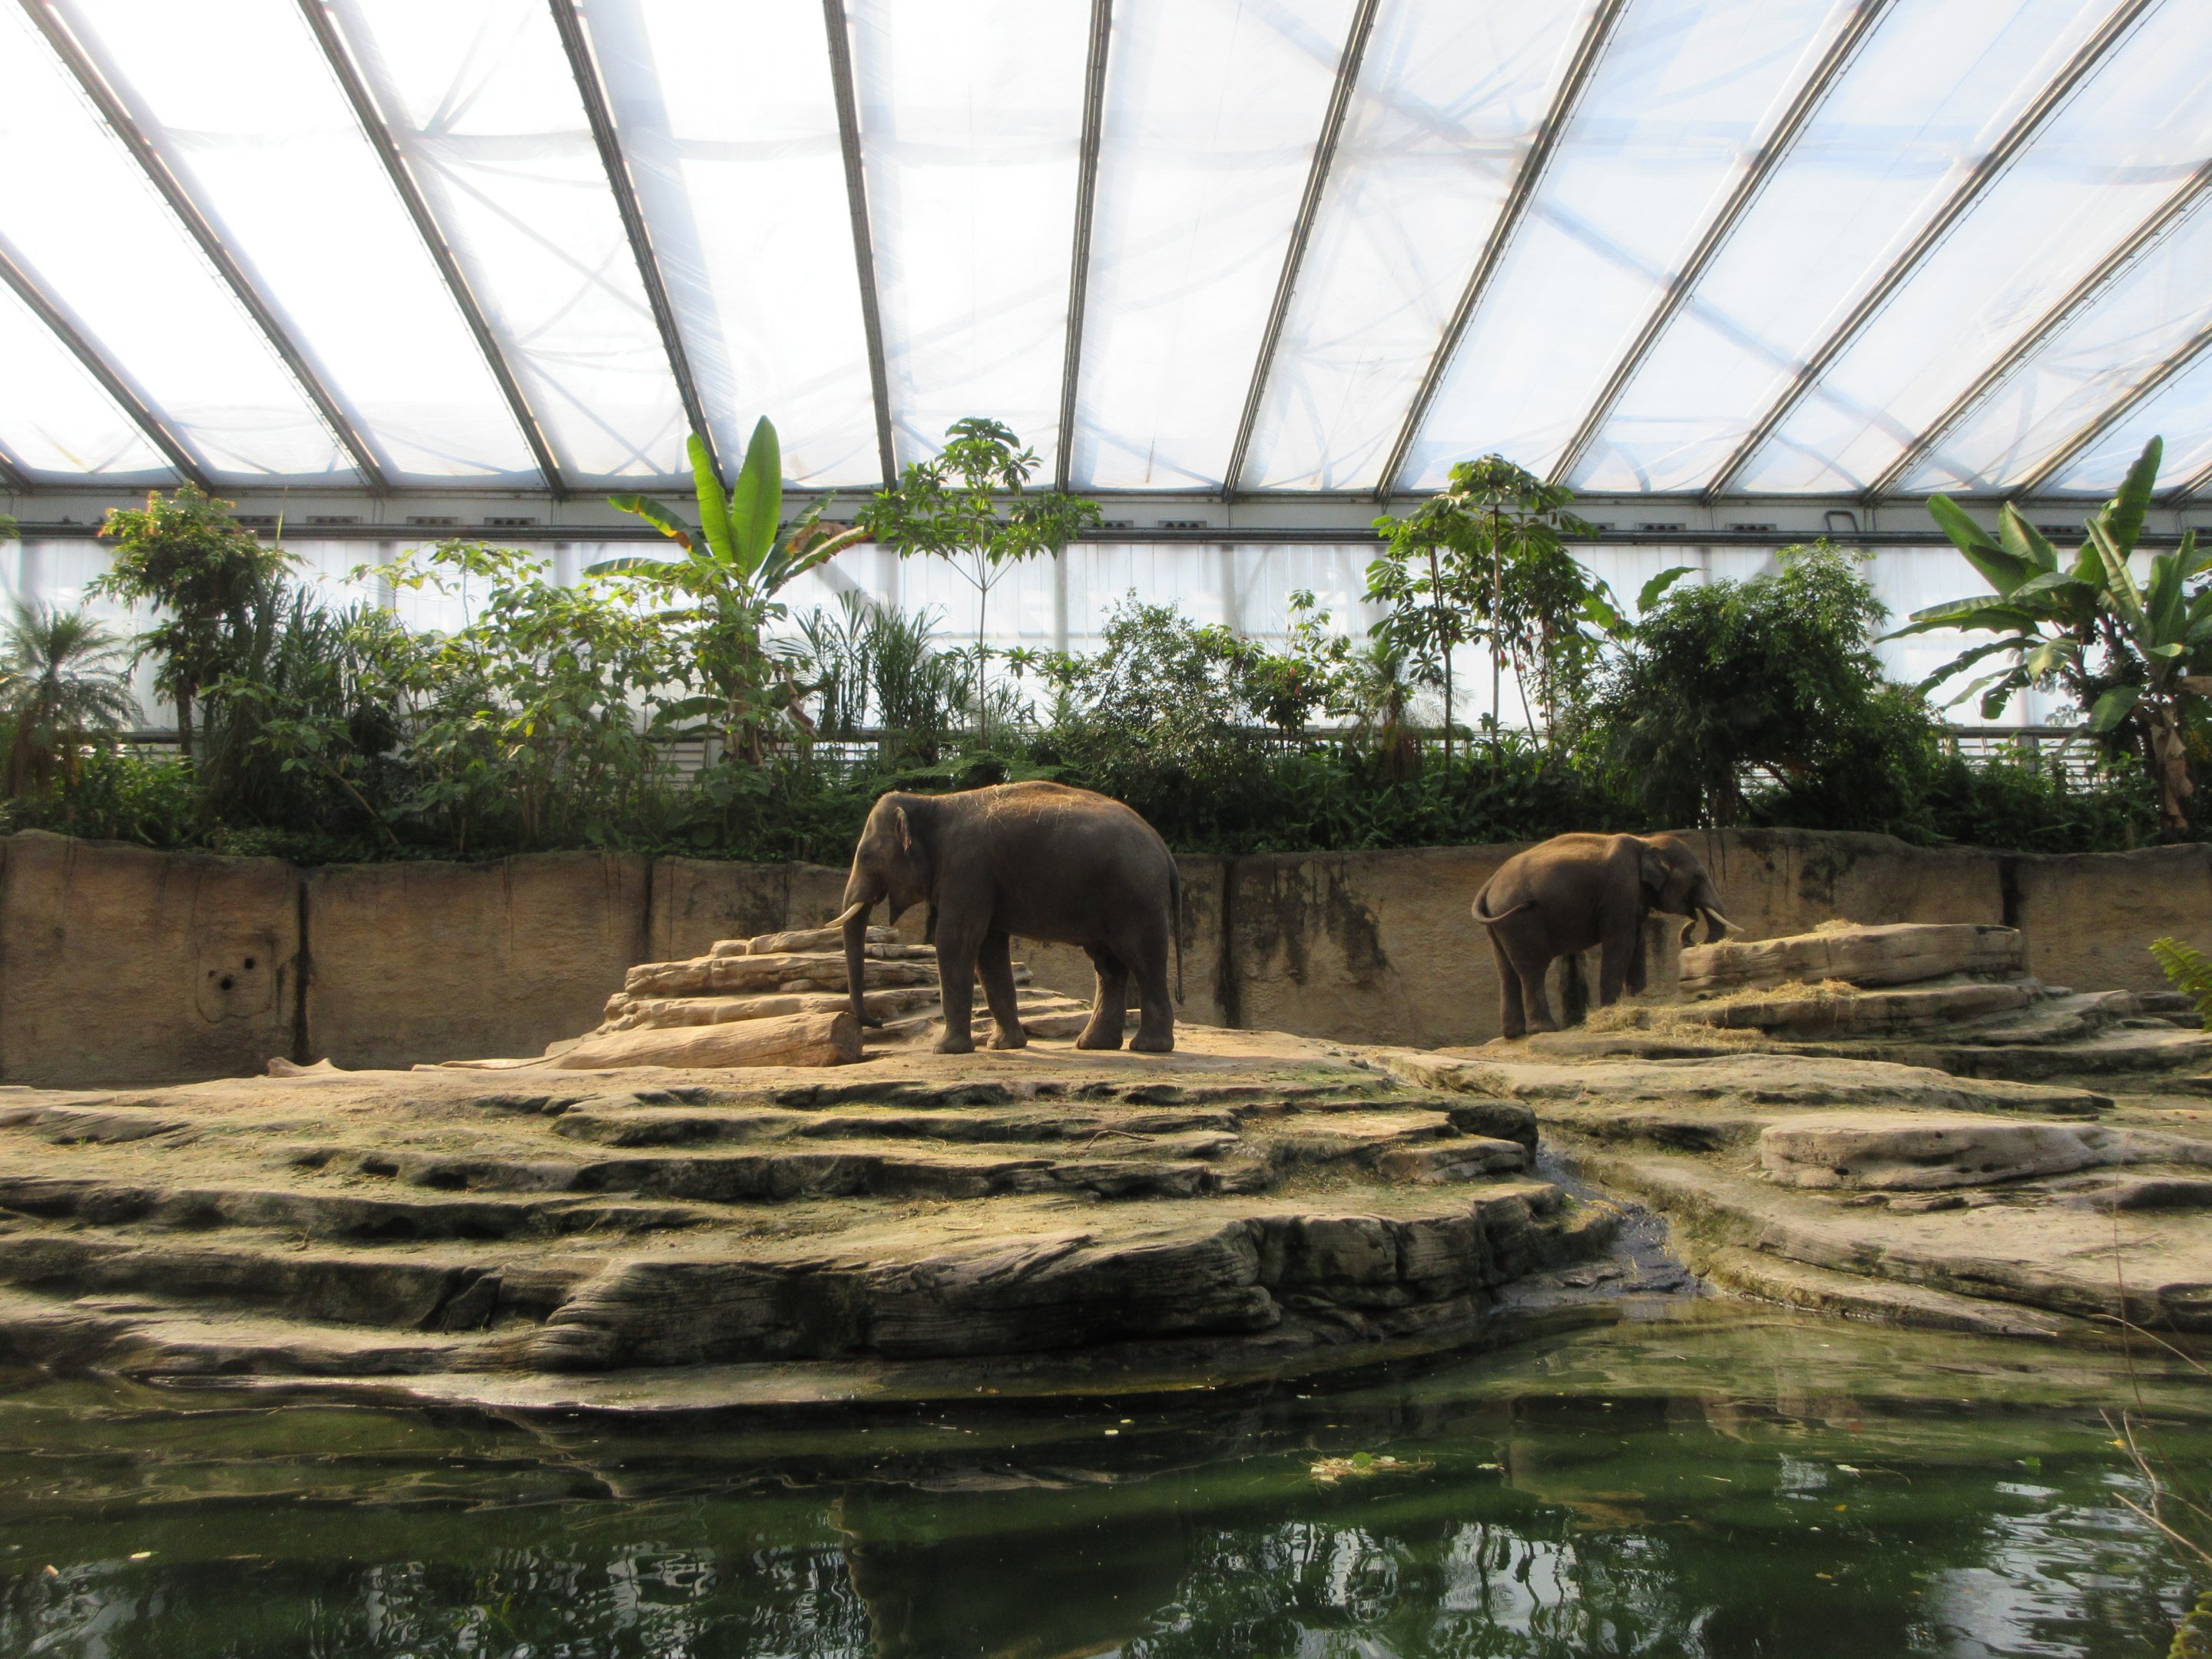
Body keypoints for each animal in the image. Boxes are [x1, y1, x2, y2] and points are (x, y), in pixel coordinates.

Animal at [831, 781, 1182, 1055]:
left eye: (866, 857)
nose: (878, 1022)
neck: (932, 801)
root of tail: (1165, 851)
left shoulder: (967, 868)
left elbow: (955, 941)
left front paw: (945, 1050)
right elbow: (988, 950)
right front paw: (1002, 1046)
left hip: (1136, 897)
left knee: (1143, 959)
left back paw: (1148, 1047)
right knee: (1109, 965)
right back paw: (1093, 1045)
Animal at [1472, 832, 1737, 1039]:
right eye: (1698, 877)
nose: (1693, 921)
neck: (1646, 842)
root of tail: (1488, 885)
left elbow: (1637, 940)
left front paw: (1637, 1000)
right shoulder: (1620, 889)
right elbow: (1621, 941)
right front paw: (1612, 1008)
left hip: (1501, 923)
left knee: (1506, 970)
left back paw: (1514, 1034)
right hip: (1522, 919)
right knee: (1532, 968)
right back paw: (1545, 1029)